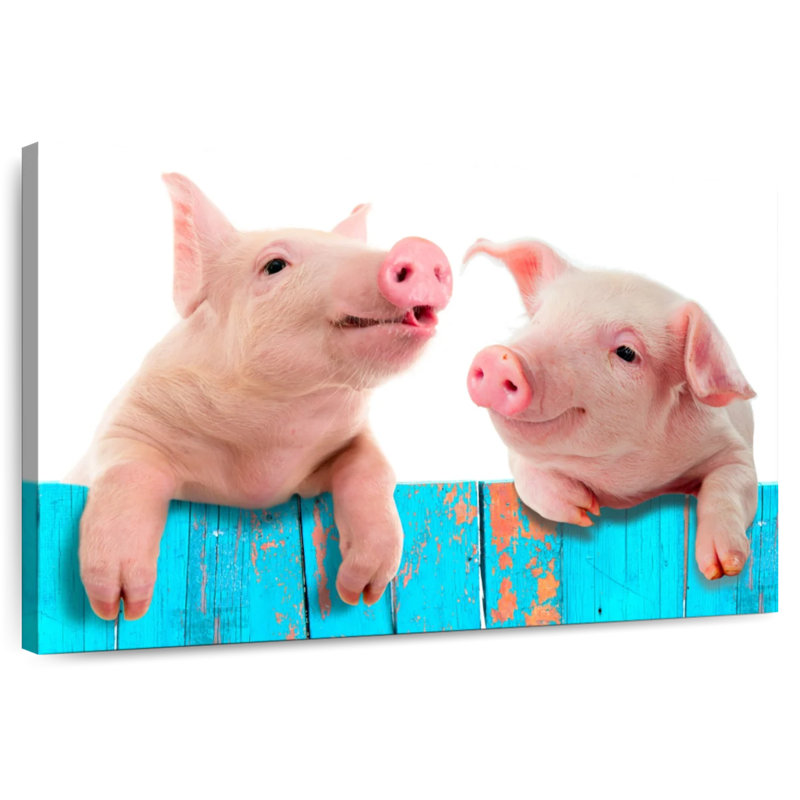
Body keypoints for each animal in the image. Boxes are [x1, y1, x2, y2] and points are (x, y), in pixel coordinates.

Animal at [69, 174, 452, 621]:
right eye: (274, 265)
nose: (420, 248)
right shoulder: (124, 429)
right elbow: (126, 471)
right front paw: (118, 607)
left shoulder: (351, 439)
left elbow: (373, 468)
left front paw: (360, 593)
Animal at [464, 238, 757, 580]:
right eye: (537, 321)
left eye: (626, 352)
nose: (500, 358)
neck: (627, 487)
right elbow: (526, 471)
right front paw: (584, 510)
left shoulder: (732, 447)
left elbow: (729, 484)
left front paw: (724, 568)